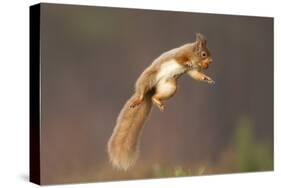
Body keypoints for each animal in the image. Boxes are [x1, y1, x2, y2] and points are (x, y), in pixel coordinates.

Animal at [106, 33, 213, 170]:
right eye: (204, 54)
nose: (210, 63)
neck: (193, 54)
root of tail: (151, 90)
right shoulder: (180, 53)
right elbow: (180, 59)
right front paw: (187, 62)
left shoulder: (192, 70)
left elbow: (196, 75)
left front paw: (207, 79)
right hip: (148, 78)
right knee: (142, 91)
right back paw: (139, 99)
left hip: (170, 87)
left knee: (154, 96)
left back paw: (157, 101)